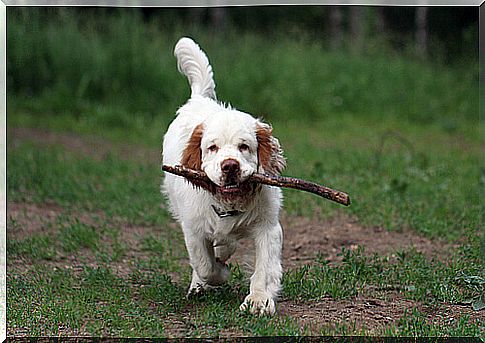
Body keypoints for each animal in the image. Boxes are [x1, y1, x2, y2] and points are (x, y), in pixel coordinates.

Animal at [161, 37, 286, 318]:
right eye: (212, 148)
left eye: (244, 147)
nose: (230, 166)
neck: (229, 203)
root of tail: (198, 99)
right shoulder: (193, 229)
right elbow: (205, 265)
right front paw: (216, 275)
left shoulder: (267, 226)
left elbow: (264, 268)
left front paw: (259, 301)